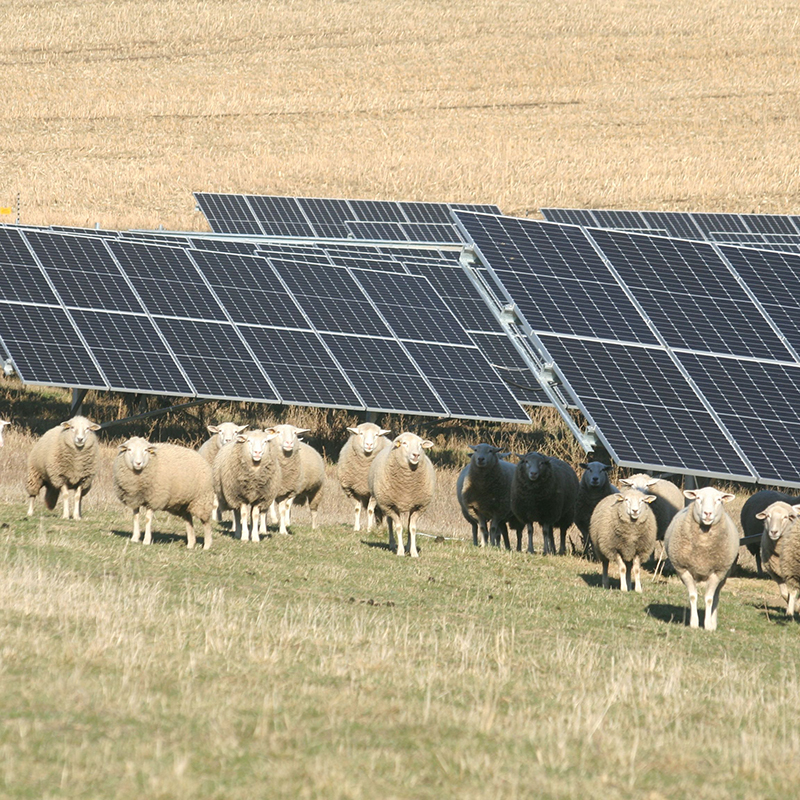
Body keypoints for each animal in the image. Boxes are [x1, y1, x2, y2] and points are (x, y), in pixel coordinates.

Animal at [664, 488, 736, 632]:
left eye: (719, 499)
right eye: (698, 498)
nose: (707, 513)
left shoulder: (717, 572)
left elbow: (709, 599)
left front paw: (708, 625)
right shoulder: (683, 570)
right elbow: (693, 596)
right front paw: (694, 623)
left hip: (724, 575)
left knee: (716, 597)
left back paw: (713, 623)